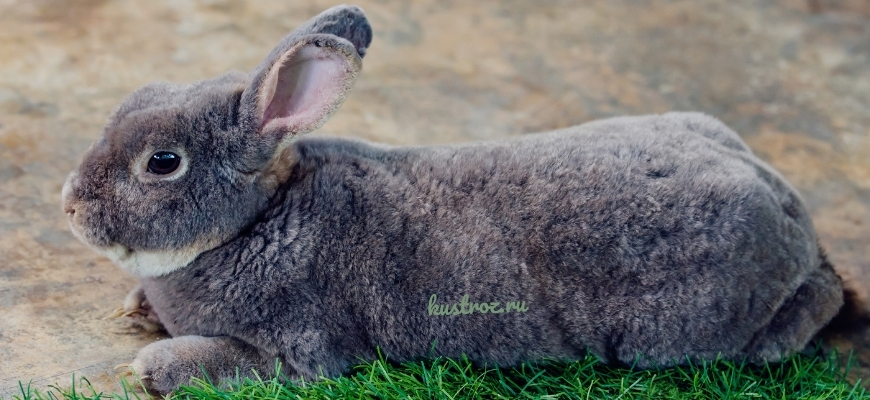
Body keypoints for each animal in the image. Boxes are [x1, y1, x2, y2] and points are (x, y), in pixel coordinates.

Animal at [63, 3, 864, 396]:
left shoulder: (302, 351)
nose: (68, 205)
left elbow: (235, 363)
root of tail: (793, 218)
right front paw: (134, 311)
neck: (255, 220)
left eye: (162, 163)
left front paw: (151, 367)